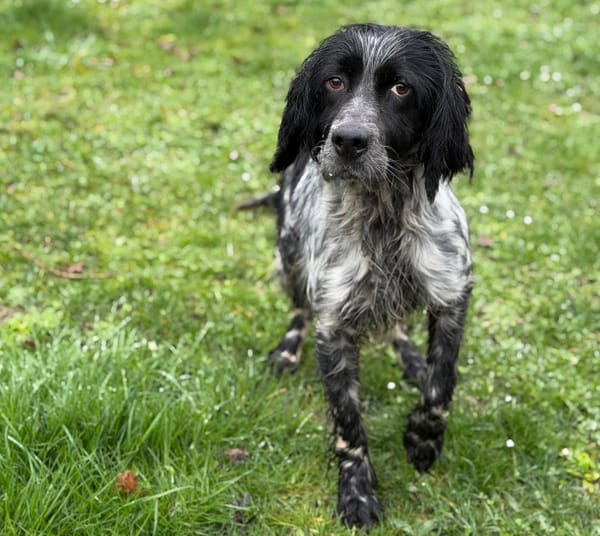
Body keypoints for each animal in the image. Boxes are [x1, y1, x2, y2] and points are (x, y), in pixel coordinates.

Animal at [243, 23, 474, 529]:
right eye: (334, 82)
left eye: (401, 88)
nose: (348, 140)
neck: (383, 215)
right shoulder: (335, 325)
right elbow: (348, 424)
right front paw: (356, 493)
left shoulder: (453, 296)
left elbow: (441, 385)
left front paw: (422, 441)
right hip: (289, 257)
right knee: (300, 310)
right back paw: (287, 350)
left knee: (396, 326)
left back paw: (410, 358)